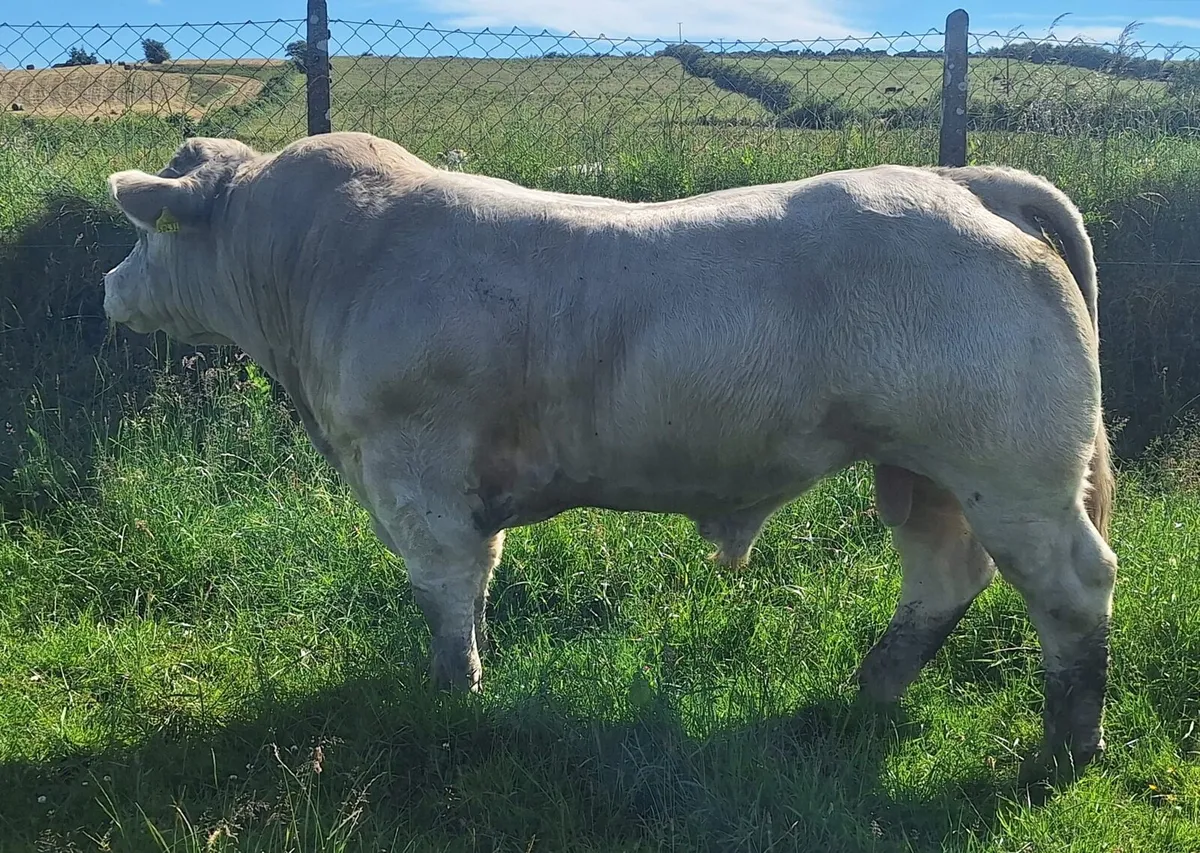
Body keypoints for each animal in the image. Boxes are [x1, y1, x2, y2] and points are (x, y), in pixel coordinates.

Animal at [103, 131, 1116, 784]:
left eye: (144, 233)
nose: (110, 285)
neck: (321, 268)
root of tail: (964, 180)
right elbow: (478, 578)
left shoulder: (414, 471)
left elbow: (443, 587)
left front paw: (453, 692)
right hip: (928, 470)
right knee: (943, 576)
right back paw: (871, 692)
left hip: (1011, 469)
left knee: (1072, 586)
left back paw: (1067, 744)